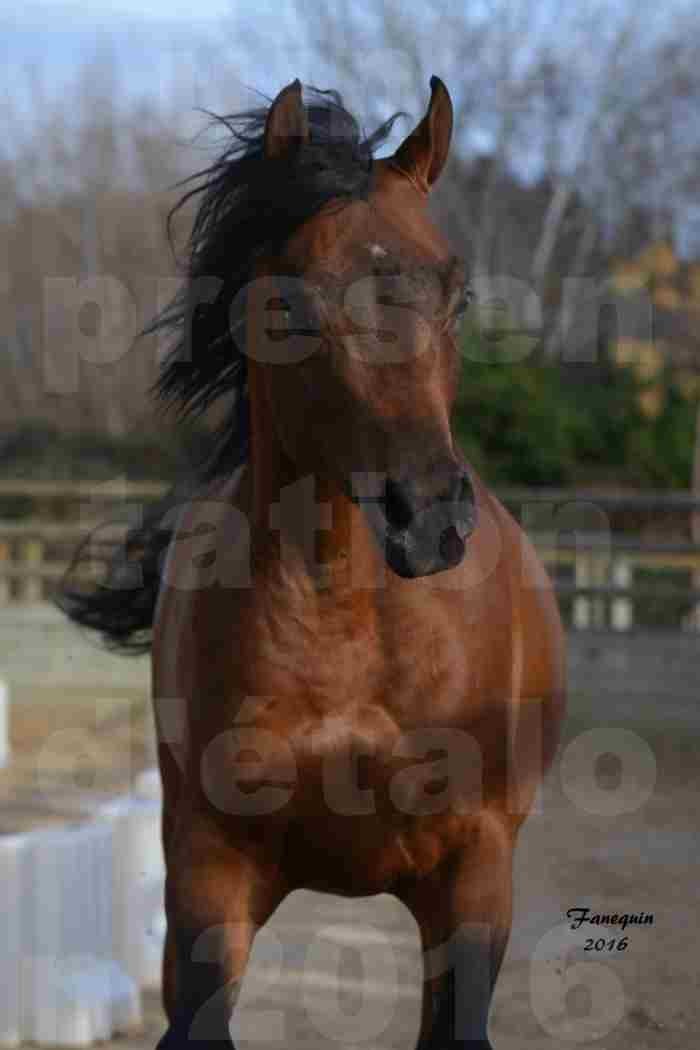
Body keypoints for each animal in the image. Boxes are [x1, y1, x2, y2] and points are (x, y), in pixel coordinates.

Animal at [60, 77, 562, 1045]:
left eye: (457, 296)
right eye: (291, 303)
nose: (427, 520)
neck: (350, 636)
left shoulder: (476, 871)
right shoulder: (210, 872)